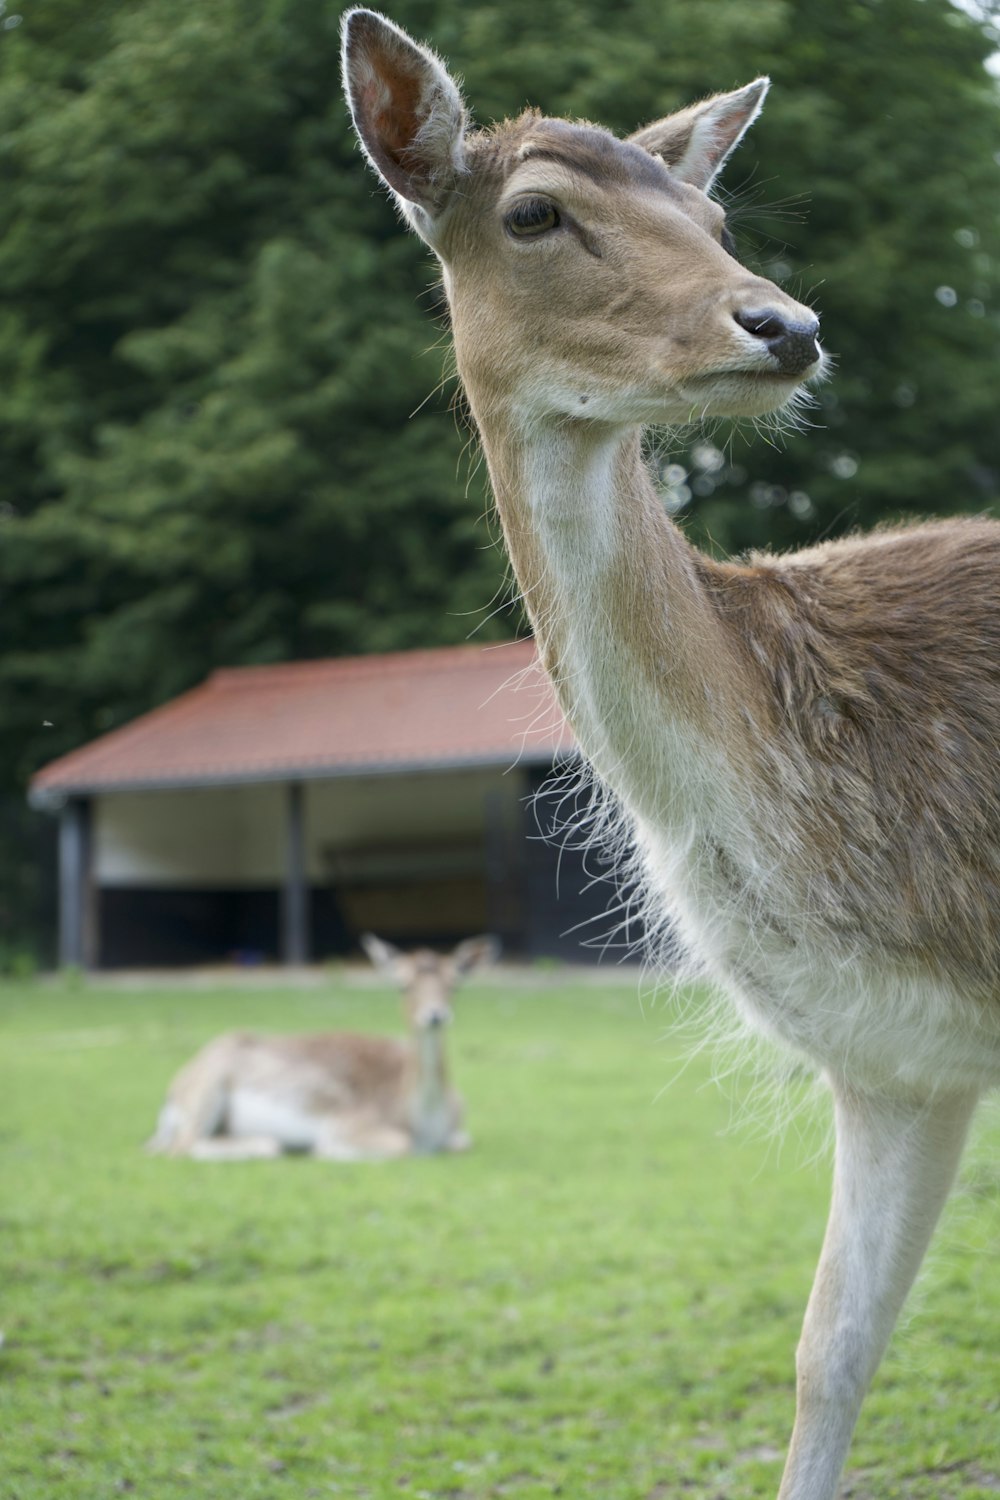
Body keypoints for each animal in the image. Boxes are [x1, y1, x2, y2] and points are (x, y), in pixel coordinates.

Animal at [146, 930, 497, 1164]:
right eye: (402, 985)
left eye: (455, 984)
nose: (436, 1015)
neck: (424, 1120)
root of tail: (171, 1095)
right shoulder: (350, 1122)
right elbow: (399, 1144)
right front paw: (326, 1150)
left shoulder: (458, 1129)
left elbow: (463, 1142)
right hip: (207, 1088)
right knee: (180, 1146)